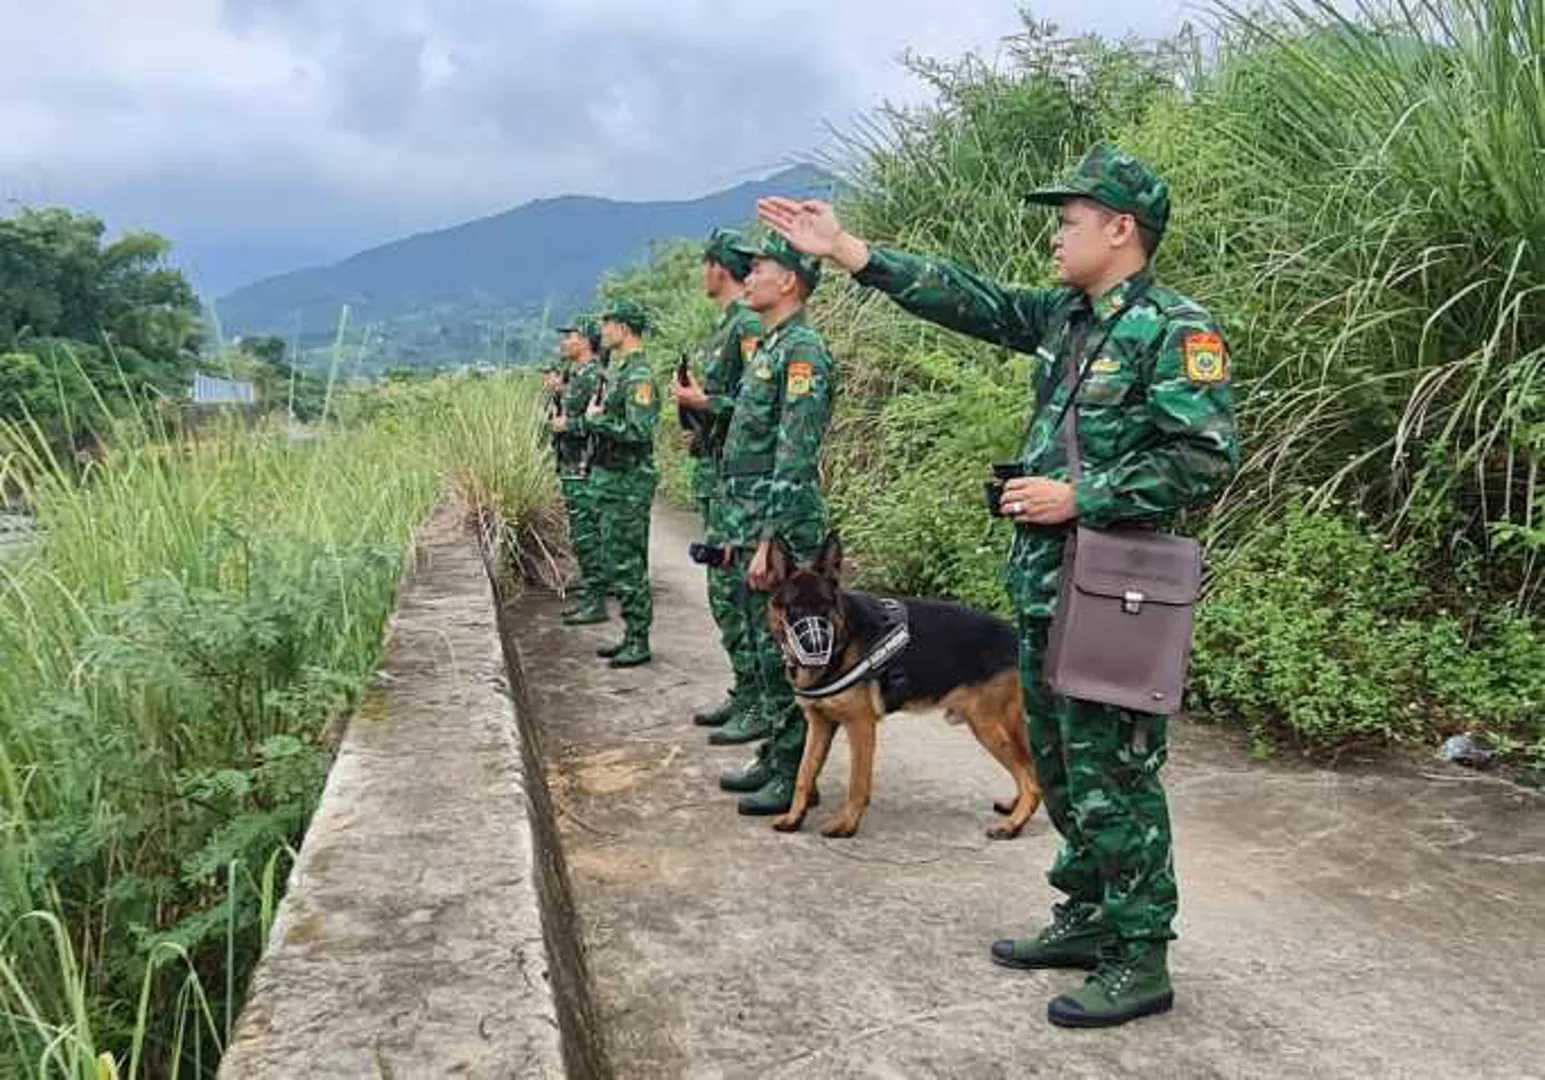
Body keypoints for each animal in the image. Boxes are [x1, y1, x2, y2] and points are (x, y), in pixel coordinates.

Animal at [766, 537, 1044, 840]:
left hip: (988, 725)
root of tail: (1018, 640)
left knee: (1032, 781)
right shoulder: (819, 724)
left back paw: (1012, 825)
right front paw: (794, 818)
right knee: (1030, 769)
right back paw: (1015, 807)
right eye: (794, 609)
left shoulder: (860, 725)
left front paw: (847, 825)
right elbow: (804, 774)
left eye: (826, 606)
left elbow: (857, 783)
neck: (845, 636)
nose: (815, 646)